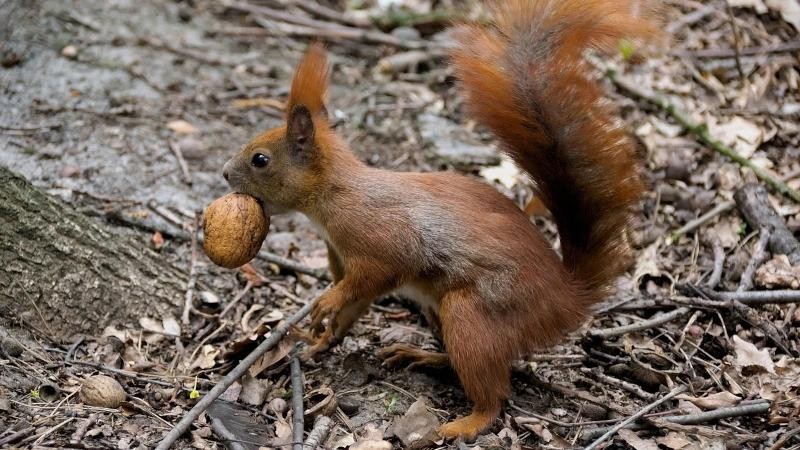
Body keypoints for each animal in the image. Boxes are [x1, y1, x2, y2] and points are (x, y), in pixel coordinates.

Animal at [220, 0, 656, 440]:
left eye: (260, 159)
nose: (223, 174)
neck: (333, 196)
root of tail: (568, 298)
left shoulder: (379, 239)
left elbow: (373, 276)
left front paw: (325, 302)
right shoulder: (339, 253)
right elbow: (354, 305)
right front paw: (321, 341)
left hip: (472, 316)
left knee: (493, 395)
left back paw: (464, 422)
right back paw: (421, 356)